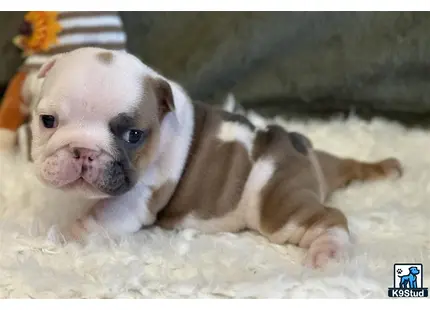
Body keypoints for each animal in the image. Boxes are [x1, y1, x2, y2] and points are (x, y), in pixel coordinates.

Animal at [31, 47, 404, 268]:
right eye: (47, 120)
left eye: (133, 135)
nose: (83, 151)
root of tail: (299, 148)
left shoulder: (134, 198)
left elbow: (96, 220)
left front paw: (63, 235)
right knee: (346, 166)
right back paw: (385, 168)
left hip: (278, 201)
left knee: (326, 217)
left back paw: (329, 251)